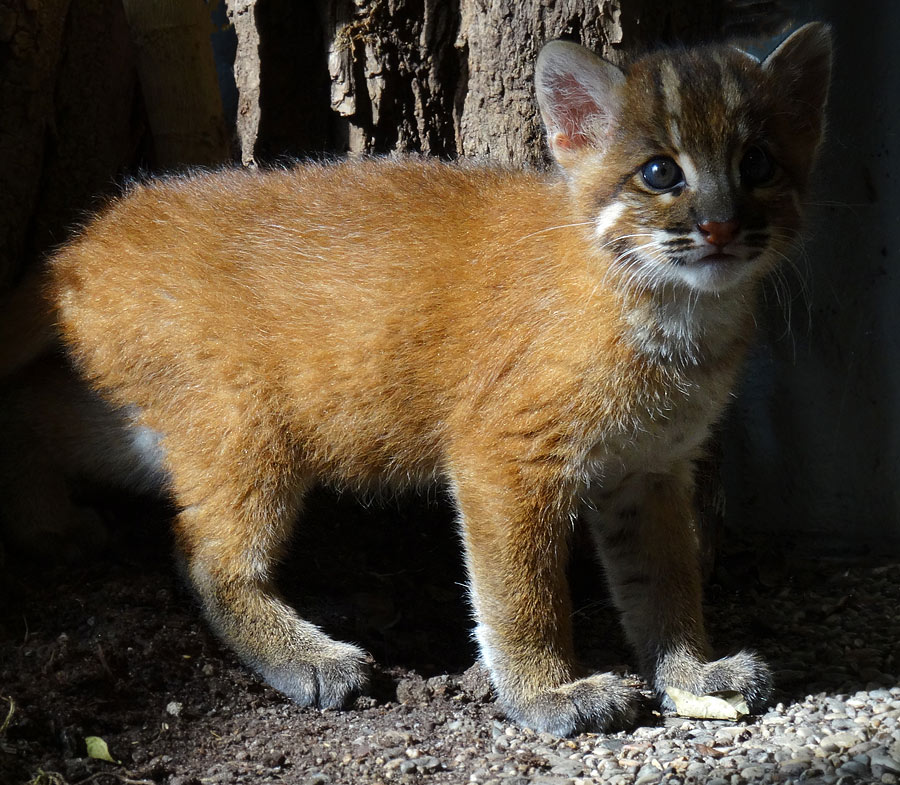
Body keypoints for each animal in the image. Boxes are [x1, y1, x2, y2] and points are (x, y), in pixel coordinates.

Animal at [24, 24, 832, 736]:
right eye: (661, 173)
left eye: (758, 164)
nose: (720, 228)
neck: (678, 312)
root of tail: (90, 236)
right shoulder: (503, 455)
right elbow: (522, 592)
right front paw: (549, 694)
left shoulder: (651, 467)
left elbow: (664, 577)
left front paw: (693, 673)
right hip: (242, 429)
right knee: (206, 557)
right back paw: (312, 658)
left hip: (158, 419)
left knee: (49, 420)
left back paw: (52, 522)